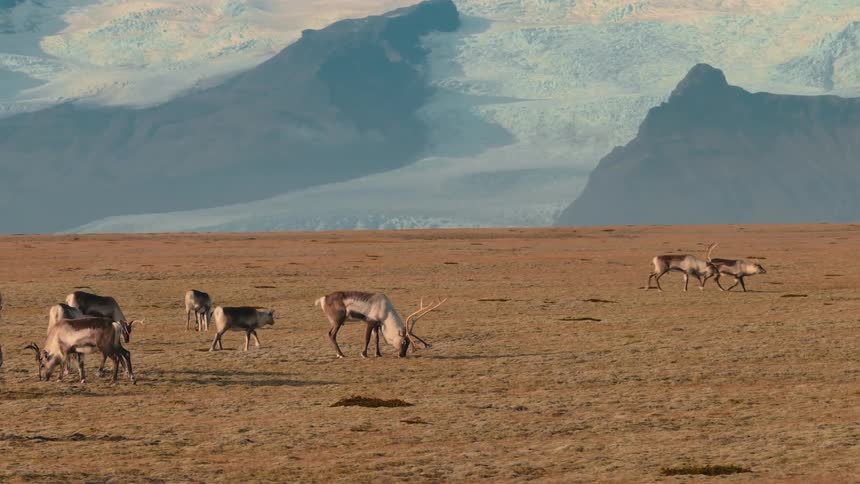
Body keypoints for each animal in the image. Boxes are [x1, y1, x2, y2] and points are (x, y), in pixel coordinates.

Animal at [315, 291, 446, 358]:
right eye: (404, 342)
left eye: (409, 343)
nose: (402, 355)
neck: (386, 311)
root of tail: (323, 298)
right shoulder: (370, 322)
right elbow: (367, 338)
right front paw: (364, 354)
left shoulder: (377, 325)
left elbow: (377, 339)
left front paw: (378, 354)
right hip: (337, 321)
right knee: (331, 334)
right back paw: (341, 354)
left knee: (331, 334)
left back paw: (339, 354)